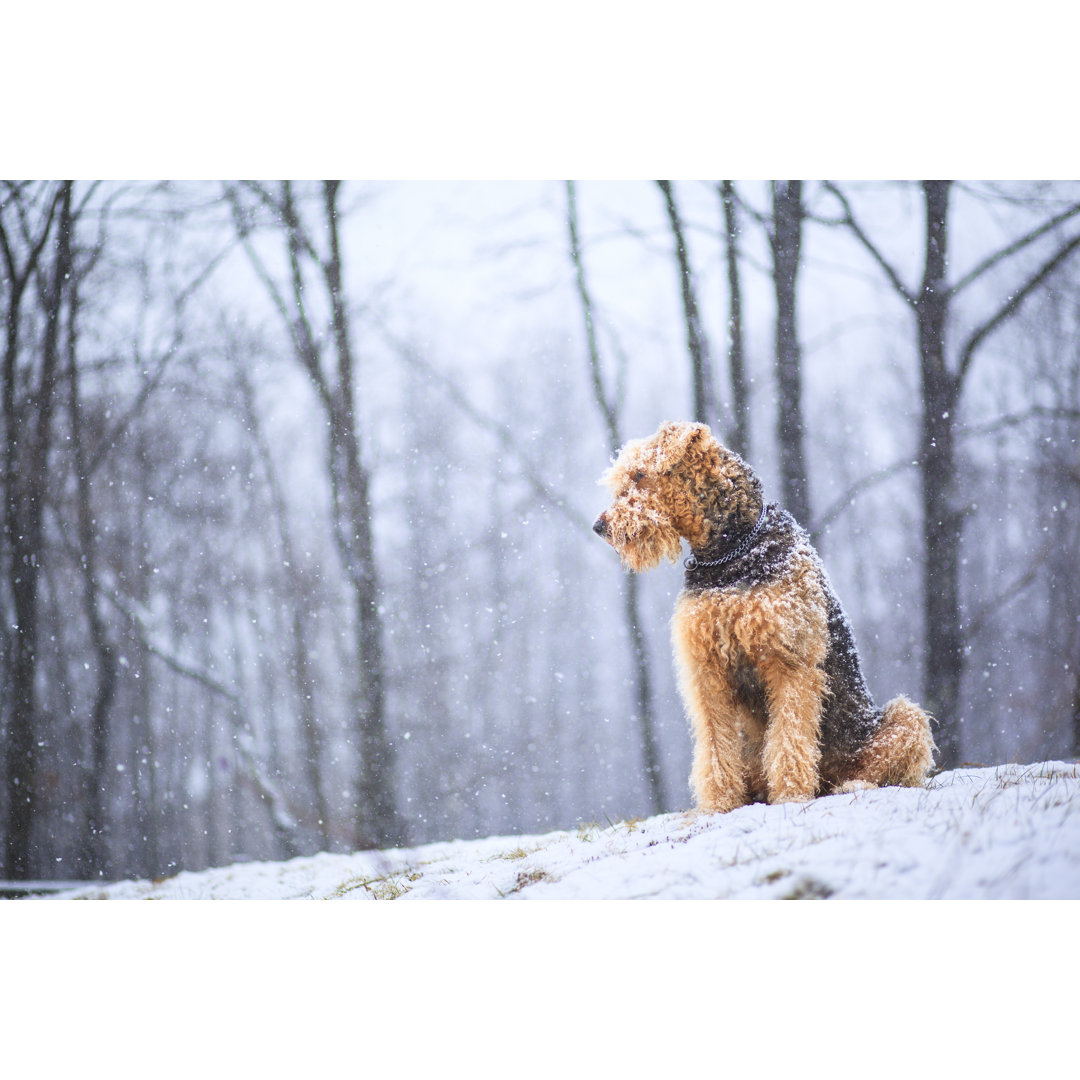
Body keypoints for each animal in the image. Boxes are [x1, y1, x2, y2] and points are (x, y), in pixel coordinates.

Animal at [596, 421, 933, 812]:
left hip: (903, 718)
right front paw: (719, 803)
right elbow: (715, 742)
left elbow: (790, 733)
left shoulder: (789, 659)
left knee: (889, 772)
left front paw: (790, 794)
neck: (731, 552)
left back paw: (849, 784)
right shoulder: (707, 668)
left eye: (639, 474)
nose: (600, 526)